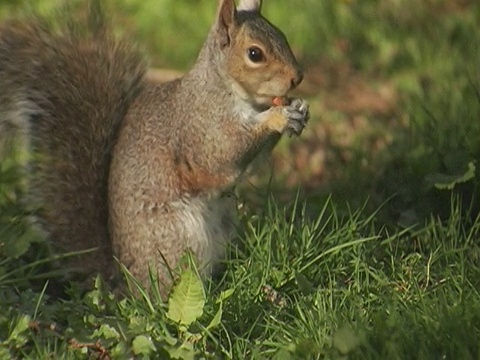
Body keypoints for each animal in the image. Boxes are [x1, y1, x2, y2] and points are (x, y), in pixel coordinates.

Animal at [0, 0, 310, 292]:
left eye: (282, 35)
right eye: (255, 54)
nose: (297, 77)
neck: (228, 90)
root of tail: (126, 282)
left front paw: (298, 109)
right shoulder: (204, 130)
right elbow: (227, 151)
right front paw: (278, 118)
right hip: (180, 238)